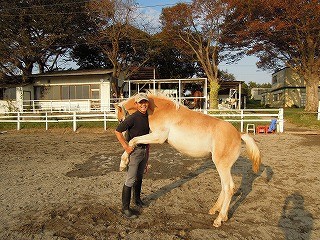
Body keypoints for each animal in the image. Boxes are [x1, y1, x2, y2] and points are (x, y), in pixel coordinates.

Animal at [116, 94, 262, 227]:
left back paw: (219, 219)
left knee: (229, 188)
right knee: (224, 188)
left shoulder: (158, 136)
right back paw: (217, 211)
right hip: (223, 167)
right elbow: (134, 141)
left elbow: (133, 140)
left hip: (222, 166)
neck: (161, 110)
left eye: (120, 119)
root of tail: (238, 134)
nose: (122, 132)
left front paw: (123, 163)